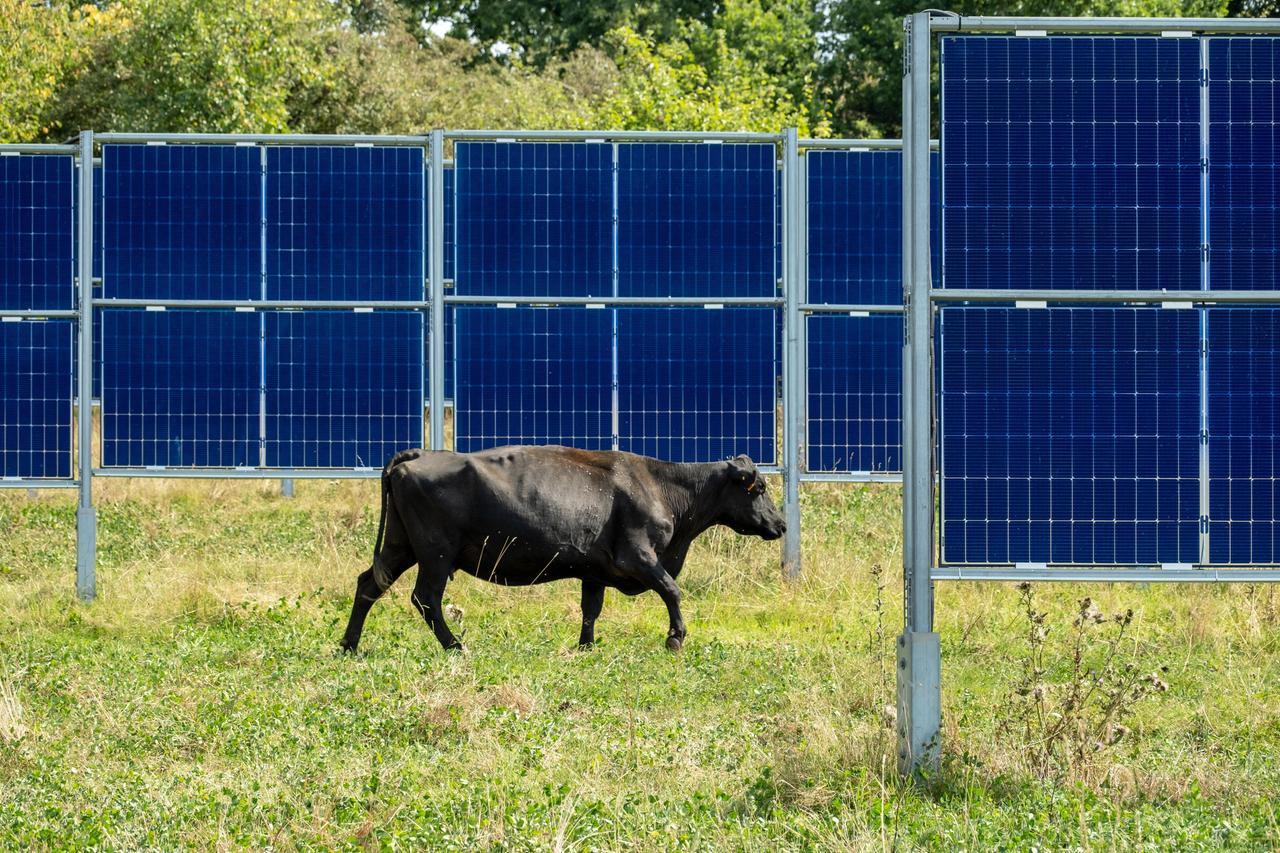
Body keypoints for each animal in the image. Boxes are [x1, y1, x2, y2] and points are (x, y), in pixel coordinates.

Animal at [340, 445, 786, 654]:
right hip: (435, 553)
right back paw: (456, 646)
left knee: (368, 585)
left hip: (401, 546)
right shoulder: (638, 556)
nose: (781, 524)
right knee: (426, 599)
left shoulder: (595, 569)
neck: (663, 486)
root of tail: (419, 454)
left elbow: (592, 609)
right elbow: (672, 591)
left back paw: (349, 645)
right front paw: (675, 637)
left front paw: (585, 646)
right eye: (759, 487)